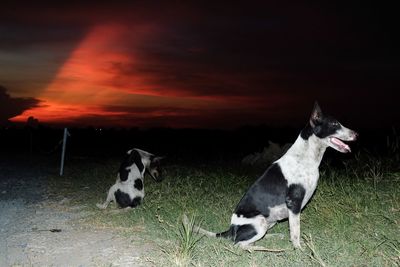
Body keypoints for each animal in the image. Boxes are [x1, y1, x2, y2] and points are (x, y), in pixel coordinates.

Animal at [188, 103, 360, 251]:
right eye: (335, 124)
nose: (356, 134)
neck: (306, 157)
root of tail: (230, 230)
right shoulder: (294, 203)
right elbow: (295, 231)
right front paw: (298, 249)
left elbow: (293, 229)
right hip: (259, 224)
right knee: (239, 244)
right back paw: (262, 248)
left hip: (269, 222)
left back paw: (273, 237)